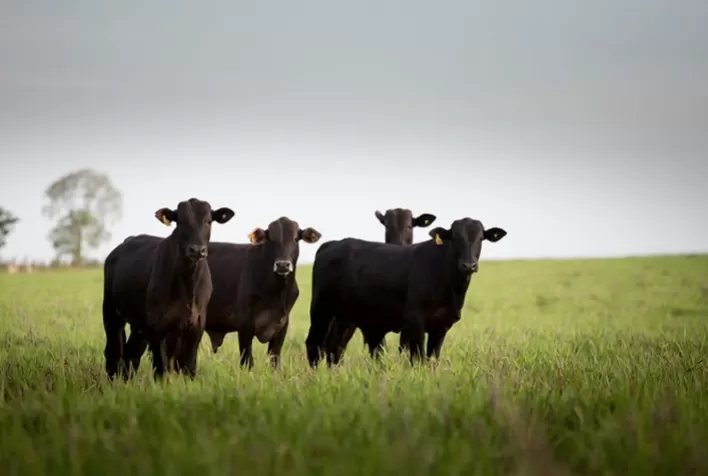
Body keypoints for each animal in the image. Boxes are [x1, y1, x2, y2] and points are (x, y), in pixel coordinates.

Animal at [101, 198, 235, 381]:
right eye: (181, 221)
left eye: (208, 221)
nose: (197, 250)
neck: (188, 285)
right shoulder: (158, 326)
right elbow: (161, 366)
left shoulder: (196, 325)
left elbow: (188, 366)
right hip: (111, 313)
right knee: (114, 351)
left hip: (139, 324)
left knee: (131, 353)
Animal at [305, 217, 506, 368]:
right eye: (455, 238)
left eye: (480, 238)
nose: (468, 265)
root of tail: (332, 244)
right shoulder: (415, 320)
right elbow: (418, 359)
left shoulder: (442, 324)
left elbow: (432, 359)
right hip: (321, 310)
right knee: (314, 345)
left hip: (345, 318)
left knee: (334, 349)